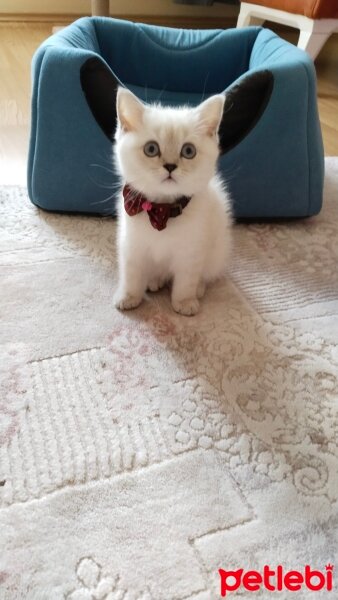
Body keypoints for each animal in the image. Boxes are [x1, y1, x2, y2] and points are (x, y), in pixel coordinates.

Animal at [113, 88, 232, 318]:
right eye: (151, 149)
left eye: (188, 151)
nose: (170, 166)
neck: (161, 210)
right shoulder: (132, 245)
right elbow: (131, 275)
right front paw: (129, 297)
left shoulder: (191, 251)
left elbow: (186, 281)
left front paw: (184, 302)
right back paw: (154, 281)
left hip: (216, 252)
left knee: (204, 274)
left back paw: (198, 289)